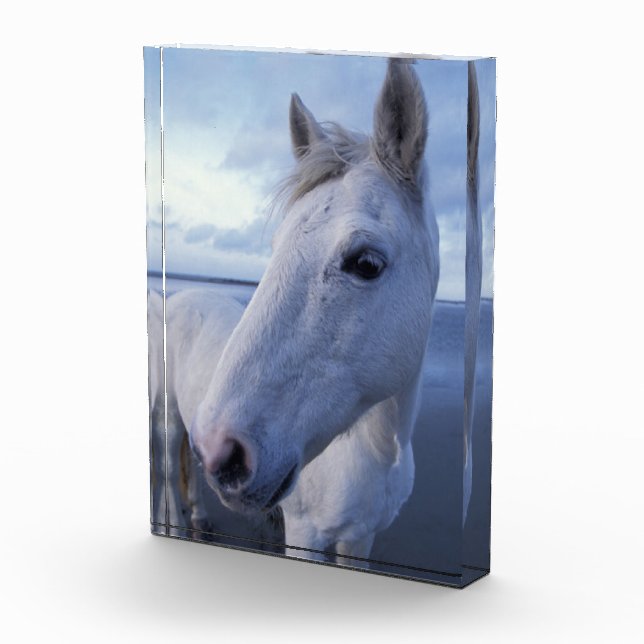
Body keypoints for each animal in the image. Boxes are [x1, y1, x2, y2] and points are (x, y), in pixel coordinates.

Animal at [150, 58, 481, 564]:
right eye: (274, 247)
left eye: (366, 263)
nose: (223, 452)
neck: (376, 450)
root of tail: (177, 298)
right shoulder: (305, 534)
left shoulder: (360, 539)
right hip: (169, 417)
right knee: (169, 468)